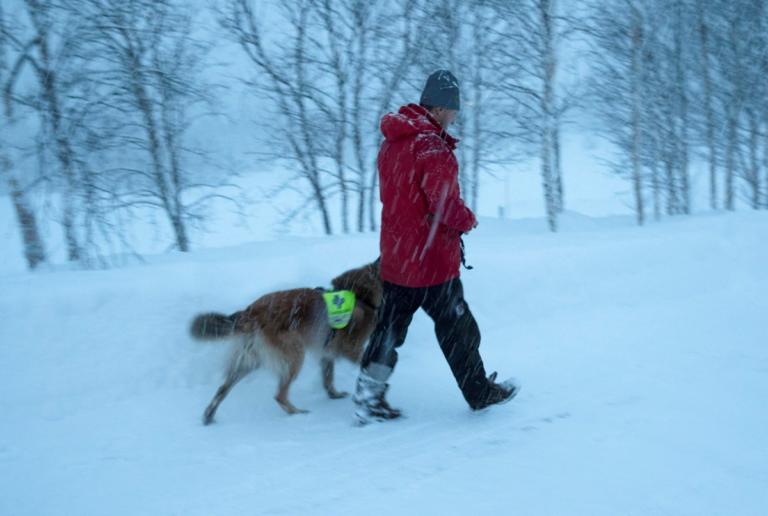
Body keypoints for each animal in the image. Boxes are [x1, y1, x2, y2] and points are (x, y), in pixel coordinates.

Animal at [189, 260, 380, 426]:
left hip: (248, 363)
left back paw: (209, 415)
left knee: (222, 389)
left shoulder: (326, 354)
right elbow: (362, 362)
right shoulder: (351, 349)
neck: (361, 295)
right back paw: (297, 413)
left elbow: (328, 378)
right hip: (295, 356)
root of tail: (250, 313)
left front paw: (334, 395)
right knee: (279, 395)